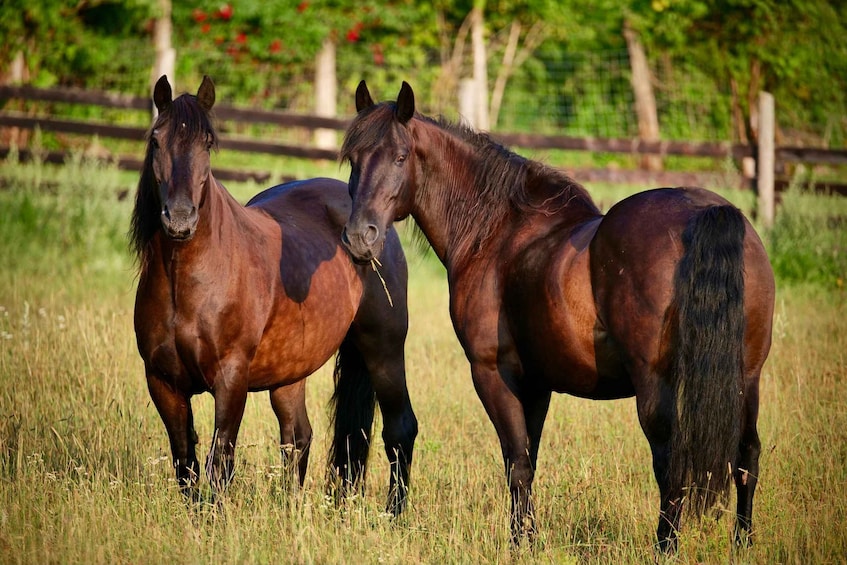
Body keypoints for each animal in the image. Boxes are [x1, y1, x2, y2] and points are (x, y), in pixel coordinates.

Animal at [129, 75, 417, 516]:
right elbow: (185, 462)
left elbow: (219, 462)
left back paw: (394, 516)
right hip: (290, 373)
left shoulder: (231, 379)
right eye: (156, 140)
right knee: (297, 436)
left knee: (399, 429)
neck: (188, 282)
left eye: (207, 143)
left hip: (383, 349)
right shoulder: (162, 381)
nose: (179, 219)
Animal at [340, 81, 775, 552]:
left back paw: (666, 546)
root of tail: (706, 211)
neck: (495, 231)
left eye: (401, 157)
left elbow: (516, 462)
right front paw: (525, 537)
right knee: (747, 456)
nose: (360, 238)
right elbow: (528, 459)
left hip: (655, 386)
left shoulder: (493, 372)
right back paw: (743, 542)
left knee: (670, 464)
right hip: (746, 377)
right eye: (354, 159)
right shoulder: (537, 383)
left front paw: (520, 543)